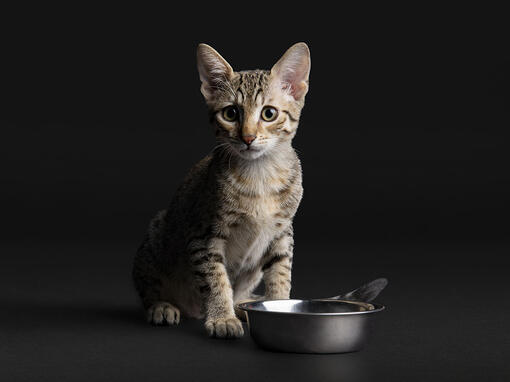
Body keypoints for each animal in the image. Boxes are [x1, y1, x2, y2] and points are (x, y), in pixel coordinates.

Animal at [132, 43, 310, 338]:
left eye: (269, 113)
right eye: (230, 114)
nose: (248, 137)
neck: (260, 175)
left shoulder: (283, 233)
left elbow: (281, 275)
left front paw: (280, 308)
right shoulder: (203, 237)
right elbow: (216, 280)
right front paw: (222, 318)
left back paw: (244, 306)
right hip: (156, 239)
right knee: (149, 288)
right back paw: (162, 306)